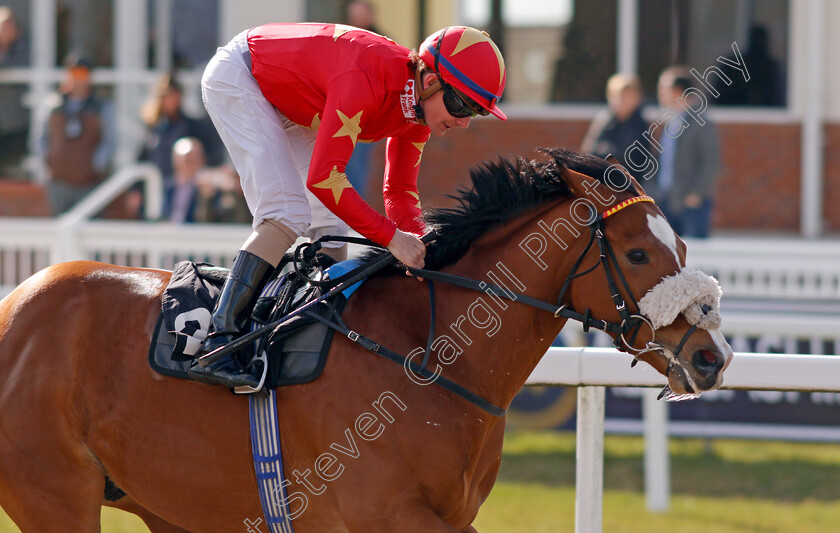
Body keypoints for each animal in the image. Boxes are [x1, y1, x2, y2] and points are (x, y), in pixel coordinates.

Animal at [0, 148, 732, 528]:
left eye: (681, 243)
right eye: (637, 253)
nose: (712, 356)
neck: (430, 354)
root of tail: (14, 306)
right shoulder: (387, 514)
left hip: (166, 503)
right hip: (56, 495)